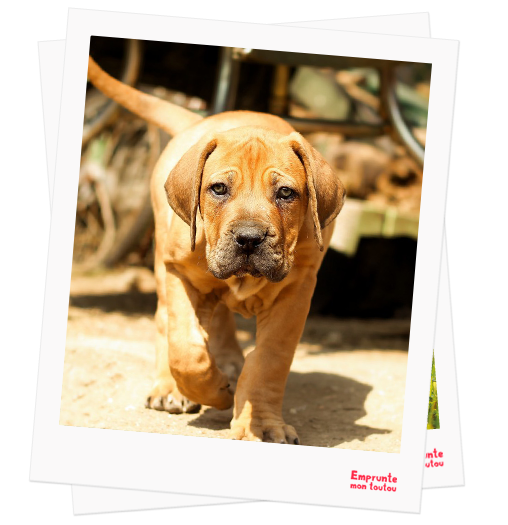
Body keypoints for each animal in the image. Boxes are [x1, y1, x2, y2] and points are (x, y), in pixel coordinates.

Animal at [88, 57, 350, 442]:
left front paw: (260, 423)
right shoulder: (179, 273)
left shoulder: (297, 289)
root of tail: (193, 122)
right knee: (166, 322)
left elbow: (269, 360)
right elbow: (186, 350)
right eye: (219, 189)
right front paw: (215, 391)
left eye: (286, 193)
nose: (249, 238)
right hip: (163, 264)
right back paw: (171, 388)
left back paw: (228, 363)